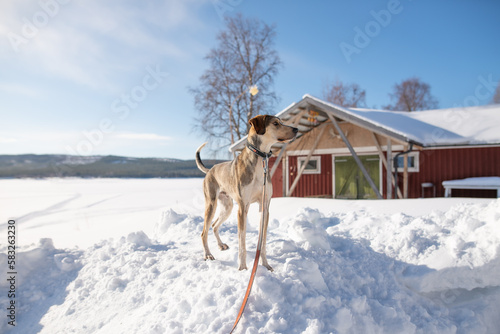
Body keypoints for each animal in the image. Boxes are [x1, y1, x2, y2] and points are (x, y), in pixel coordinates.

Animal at [195, 115, 296, 272]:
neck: (260, 160)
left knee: (214, 225)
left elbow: (263, 241)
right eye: (275, 123)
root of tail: (210, 170)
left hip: (227, 207)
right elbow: (242, 242)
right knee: (204, 232)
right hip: (211, 204)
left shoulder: (264, 207)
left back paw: (221, 245)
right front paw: (242, 268)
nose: (296, 129)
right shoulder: (242, 208)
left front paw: (266, 265)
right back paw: (208, 254)